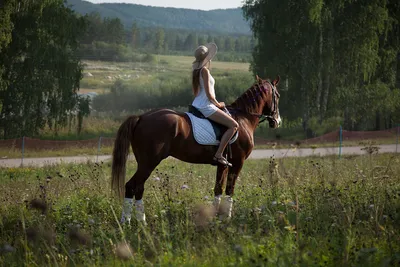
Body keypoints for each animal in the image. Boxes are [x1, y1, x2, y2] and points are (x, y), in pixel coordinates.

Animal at [111, 74, 282, 225]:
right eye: (278, 96)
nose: (277, 121)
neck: (243, 118)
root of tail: (141, 117)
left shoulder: (224, 165)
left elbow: (218, 189)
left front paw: (216, 218)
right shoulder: (238, 163)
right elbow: (229, 189)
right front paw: (226, 218)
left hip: (144, 163)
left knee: (139, 188)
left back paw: (141, 222)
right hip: (149, 162)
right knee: (132, 186)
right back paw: (126, 223)